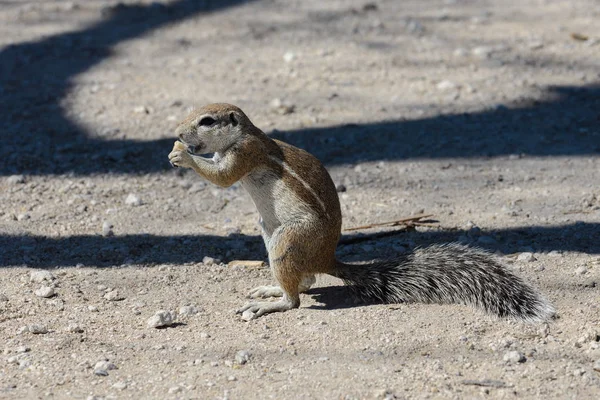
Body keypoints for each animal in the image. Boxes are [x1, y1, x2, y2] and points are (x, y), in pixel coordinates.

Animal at [168, 103, 552, 322]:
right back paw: (270, 289)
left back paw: (272, 304)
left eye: (206, 120)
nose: (177, 133)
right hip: (268, 230)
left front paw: (182, 155)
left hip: (287, 239)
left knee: (296, 297)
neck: (242, 134)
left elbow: (223, 177)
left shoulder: (245, 152)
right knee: (306, 281)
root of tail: (326, 257)